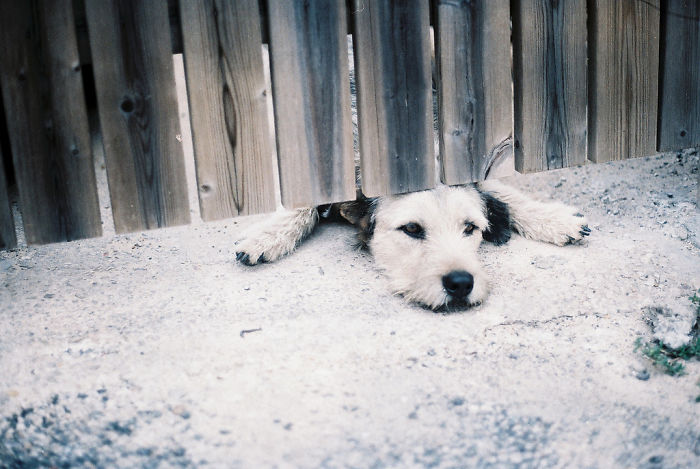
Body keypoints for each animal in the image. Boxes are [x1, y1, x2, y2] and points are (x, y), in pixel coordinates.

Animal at [235, 180, 592, 310]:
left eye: (470, 227)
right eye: (411, 229)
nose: (461, 283)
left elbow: (500, 189)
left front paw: (555, 219)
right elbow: (302, 203)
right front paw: (265, 236)